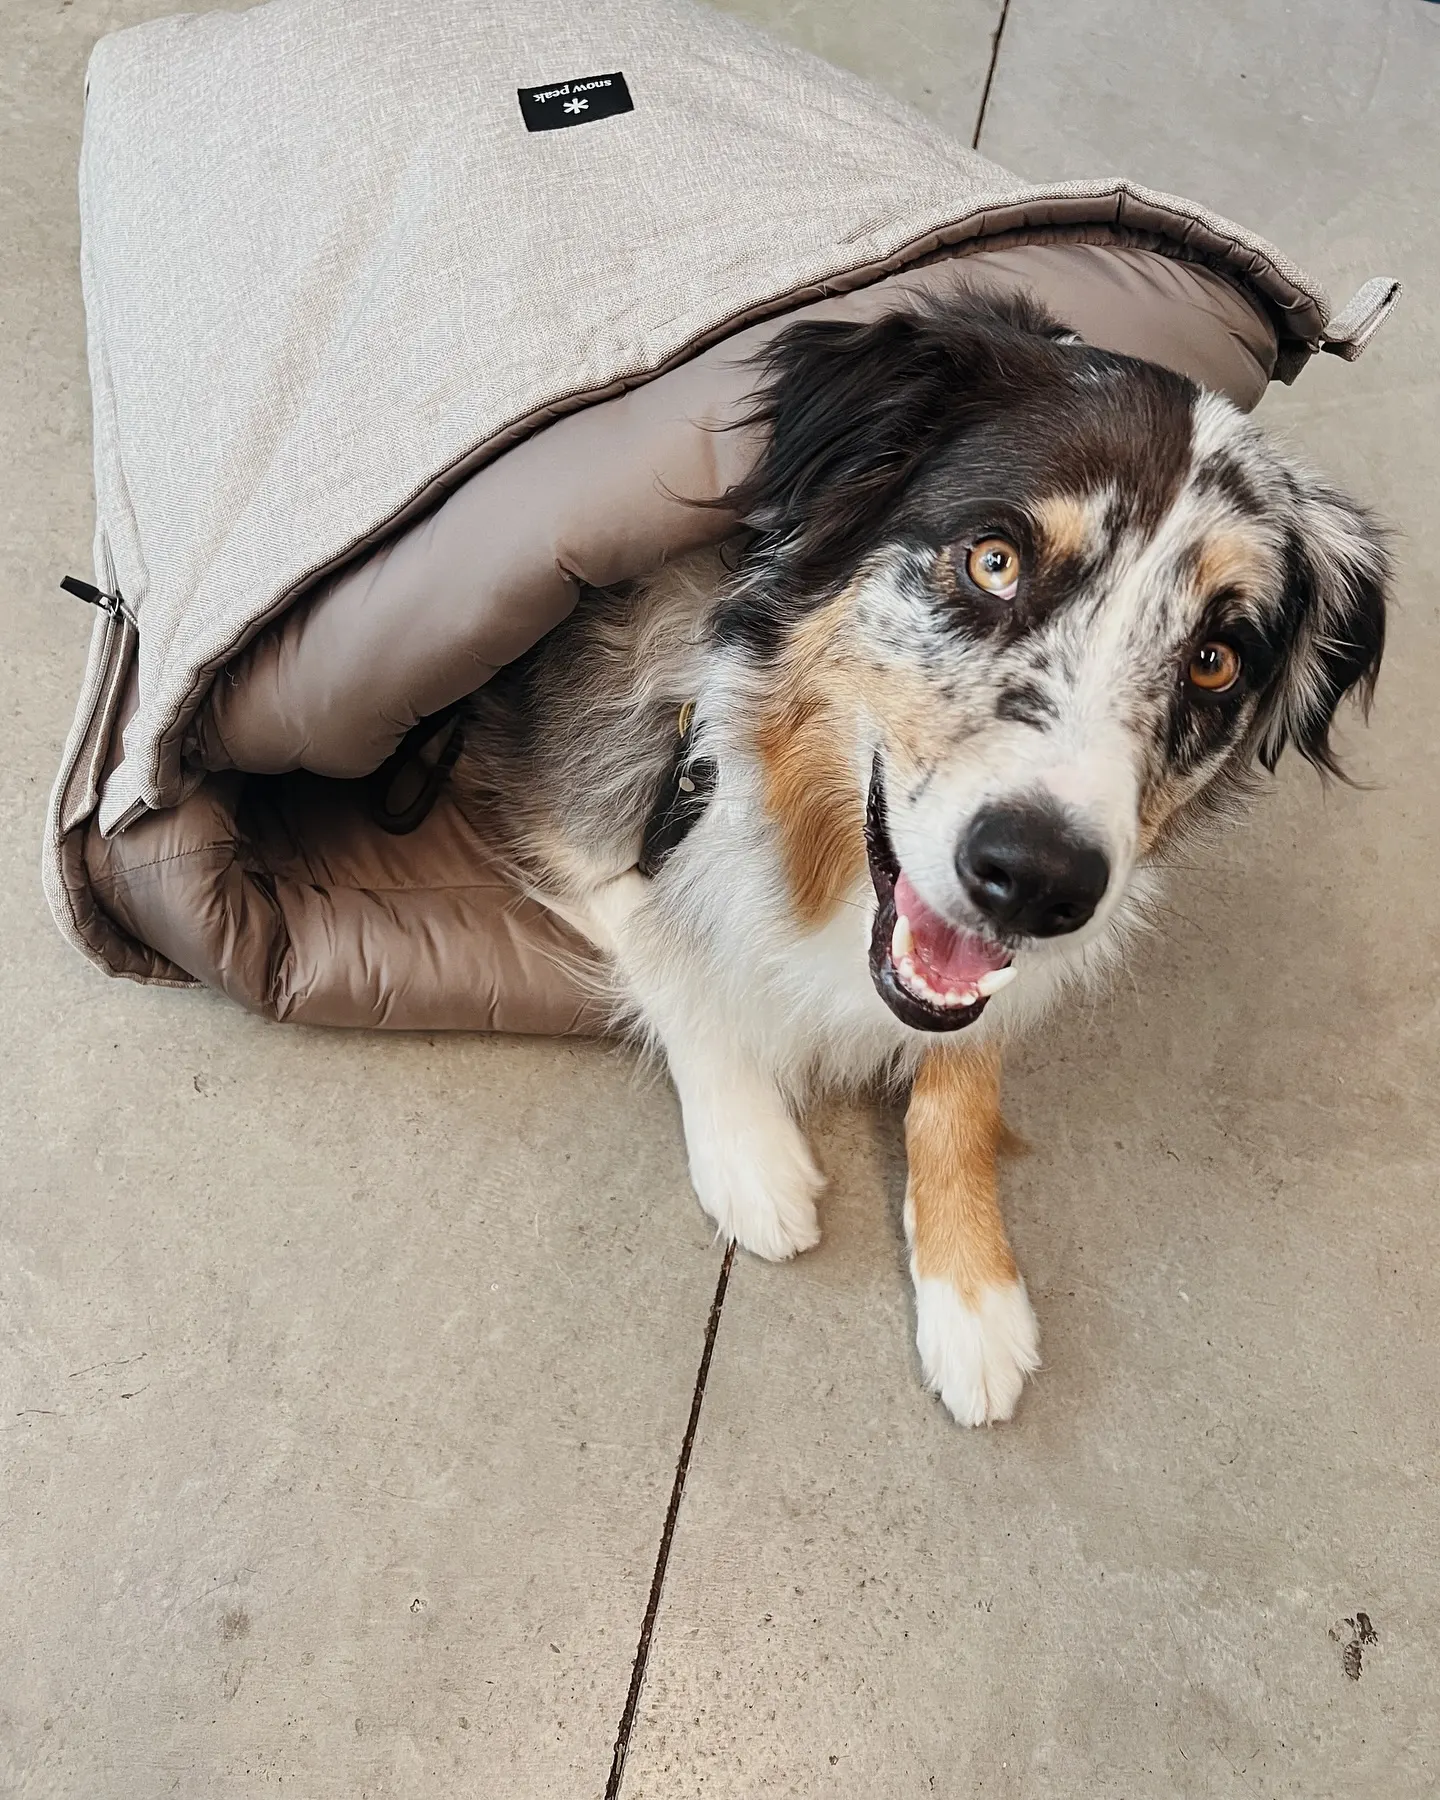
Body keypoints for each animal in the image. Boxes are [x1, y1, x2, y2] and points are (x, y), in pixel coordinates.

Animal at [453, 291, 1396, 1418]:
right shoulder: (552, 787)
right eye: (994, 561)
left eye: (1214, 661)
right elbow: (668, 940)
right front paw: (754, 1152)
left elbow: (963, 1071)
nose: (1035, 880)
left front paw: (975, 1291)